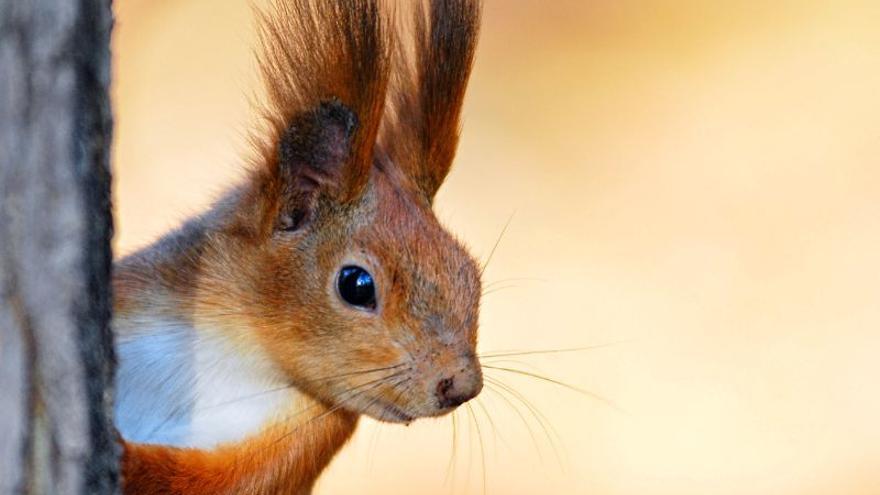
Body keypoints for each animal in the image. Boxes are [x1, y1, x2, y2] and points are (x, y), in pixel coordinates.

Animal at [113, 0, 484, 494]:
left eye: (471, 276)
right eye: (356, 285)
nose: (462, 384)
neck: (237, 350)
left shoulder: (297, 444)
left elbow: (201, 482)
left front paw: (124, 456)